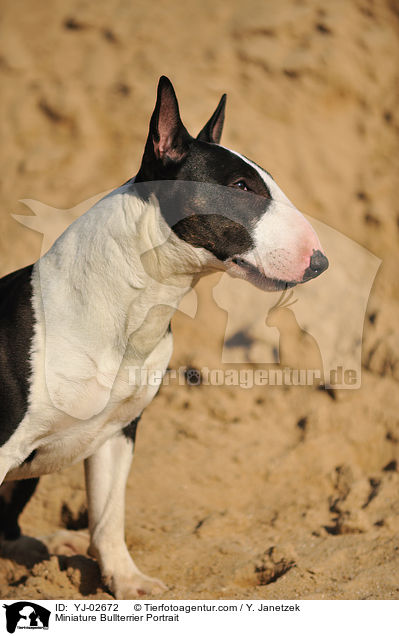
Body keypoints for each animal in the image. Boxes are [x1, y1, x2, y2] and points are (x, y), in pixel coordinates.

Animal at [0, 77, 328, 600]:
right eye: (240, 187)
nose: (320, 262)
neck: (126, 308)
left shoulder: (118, 432)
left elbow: (109, 516)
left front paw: (127, 582)